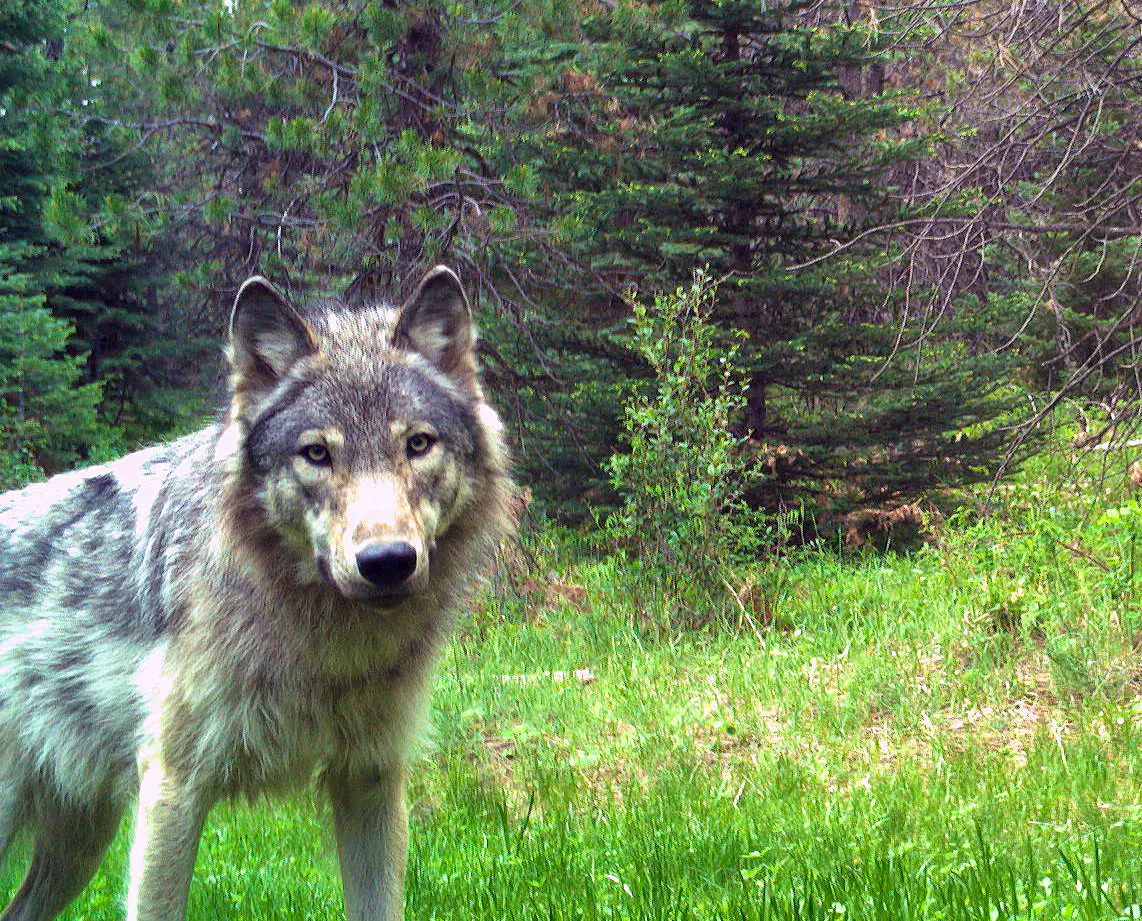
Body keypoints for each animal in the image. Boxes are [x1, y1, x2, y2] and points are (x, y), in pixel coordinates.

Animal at [0, 265, 513, 921]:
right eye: (317, 453)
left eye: (418, 444)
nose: (387, 563)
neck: (324, 647)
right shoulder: (174, 786)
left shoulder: (370, 778)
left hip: (81, 841)